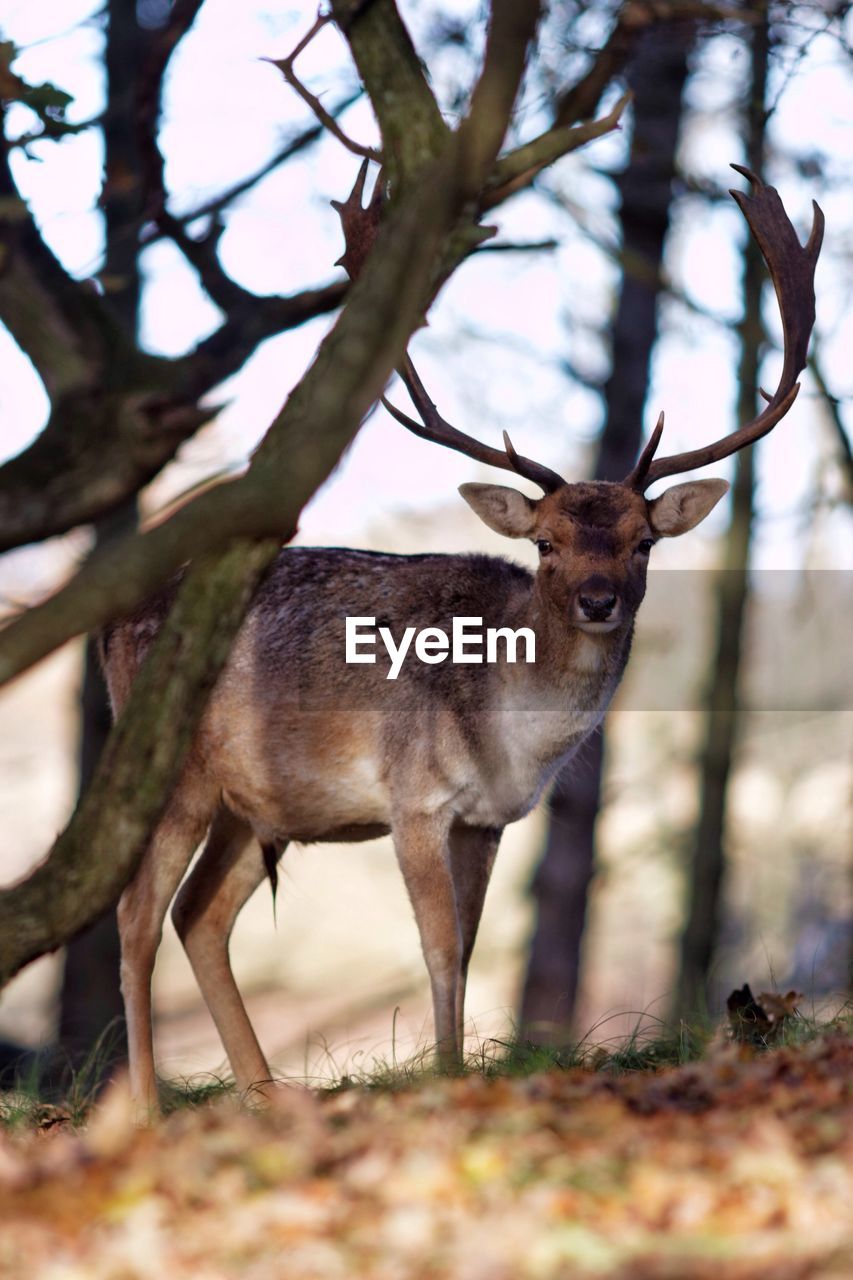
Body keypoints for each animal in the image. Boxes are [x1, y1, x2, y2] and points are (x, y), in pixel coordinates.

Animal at [97, 167, 819, 1111]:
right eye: (544, 540)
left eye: (642, 542)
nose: (596, 600)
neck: (513, 736)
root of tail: (111, 622)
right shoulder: (413, 797)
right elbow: (438, 951)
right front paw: (443, 1083)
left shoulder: (489, 821)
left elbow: (470, 951)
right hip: (173, 765)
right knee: (137, 914)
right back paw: (148, 1108)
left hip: (260, 807)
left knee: (199, 915)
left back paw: (267, 1095)